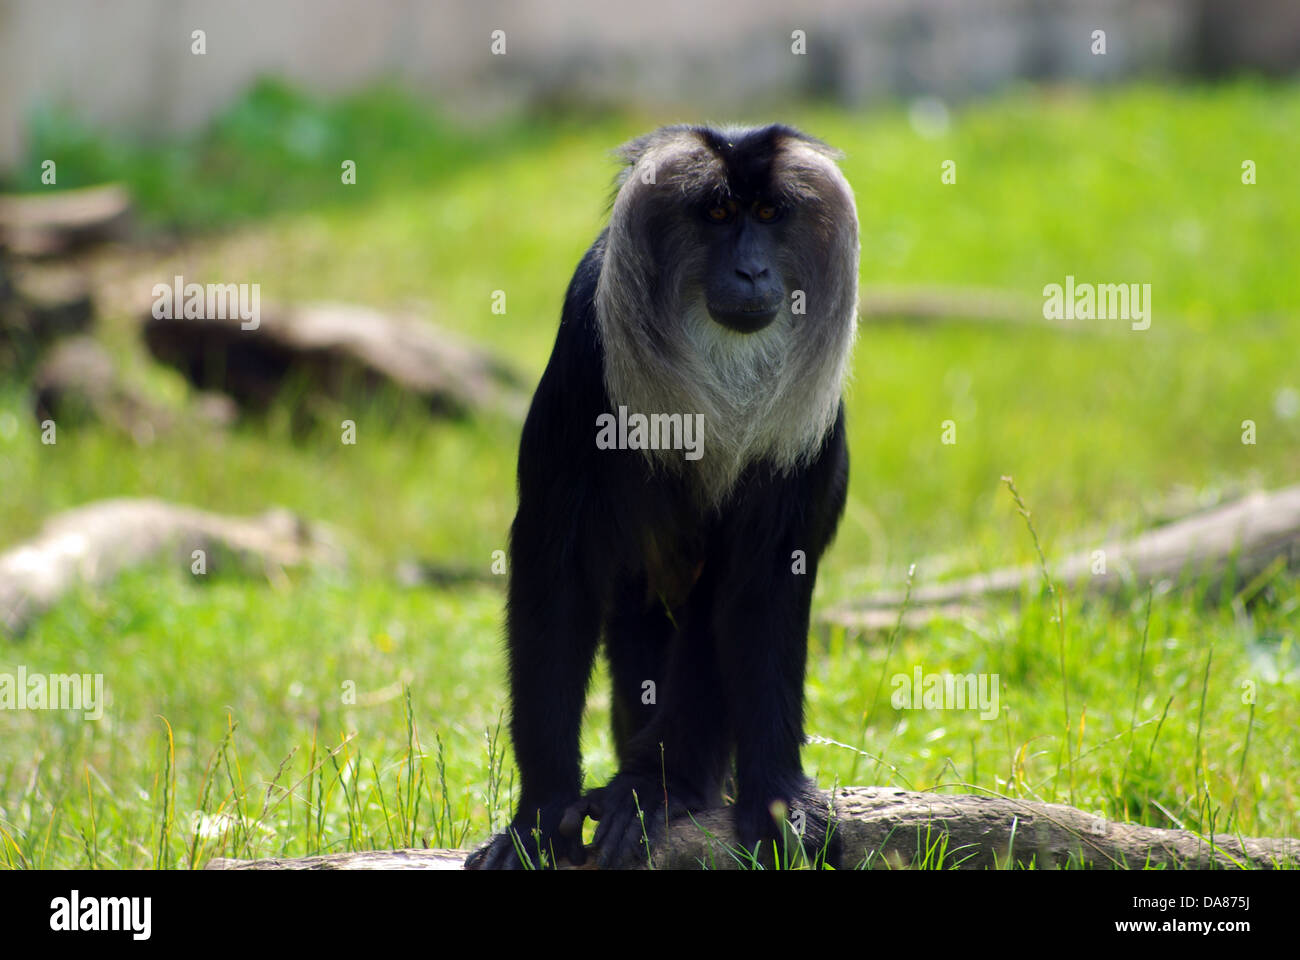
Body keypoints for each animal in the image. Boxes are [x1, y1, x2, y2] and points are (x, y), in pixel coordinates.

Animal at [467, 121, 863, 868]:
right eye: (718, 214)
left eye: (769, 214)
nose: (751, 272)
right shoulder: (583, 348)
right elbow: (552, 569)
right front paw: (540, 816)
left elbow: (761, 582)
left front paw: (763, 797)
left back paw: (665, 785)